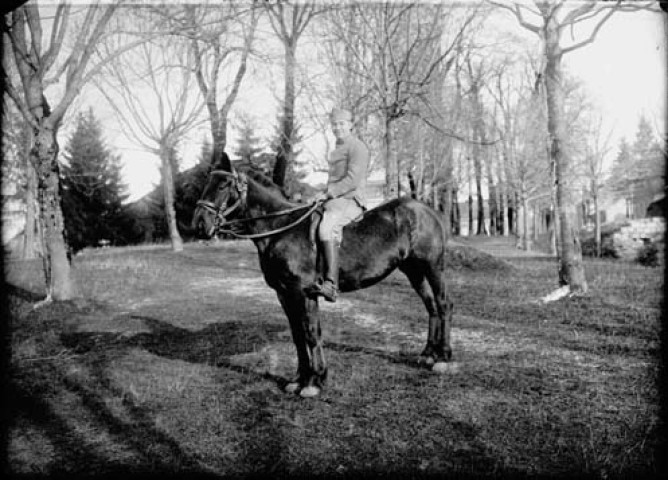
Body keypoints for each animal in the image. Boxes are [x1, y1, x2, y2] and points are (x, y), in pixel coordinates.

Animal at [192, 159, 453, 398]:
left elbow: (311, 333)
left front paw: (314, 381)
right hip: (413, 270)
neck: (281, 228)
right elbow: (298, 336)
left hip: (432, 267)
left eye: (223, 185)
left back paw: (444, 358)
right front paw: (298, 379)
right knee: (431, 306)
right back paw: (428, 355)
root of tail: (427, 210)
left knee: (443, 305)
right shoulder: (283, 294)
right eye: (206, 184)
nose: (199, 224)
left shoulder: (303, 292)